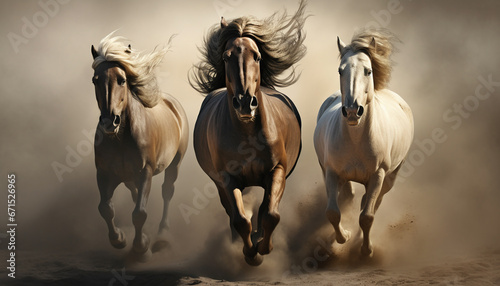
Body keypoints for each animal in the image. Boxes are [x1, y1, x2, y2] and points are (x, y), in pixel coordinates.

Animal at [90, 32, 188, 258]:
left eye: (122, 80)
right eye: (95, 80)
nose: (109, 122)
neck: (120, 139)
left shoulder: (145, 172)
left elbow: (140, 213)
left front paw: (141, 245)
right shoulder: (104, 173)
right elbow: (105, 208)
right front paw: (119, 239)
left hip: (175, 164)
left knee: (167, 192)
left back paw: (162, 235)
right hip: (127, 177)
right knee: (134, 193)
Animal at [189, 1, 306, 266]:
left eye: (257, 56)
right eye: (226, 56)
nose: (245, 103)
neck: (247, 135)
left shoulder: (277, 171)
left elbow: (271, 214)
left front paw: (264, 247)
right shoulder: (227, 178)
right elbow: (240, 219)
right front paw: (251, 254)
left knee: (263, 210)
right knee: (233, 213)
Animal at [312, 29, 414, 256]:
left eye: (368, 71)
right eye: (340, 71)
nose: (352, 111)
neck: (357, 140)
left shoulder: (378, 176)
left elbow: (367, 216)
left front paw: (366, 249)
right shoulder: (331, 172)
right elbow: (333, 212)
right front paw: (343, 237)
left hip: (390, 177)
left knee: (373, 204)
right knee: (348, 196)